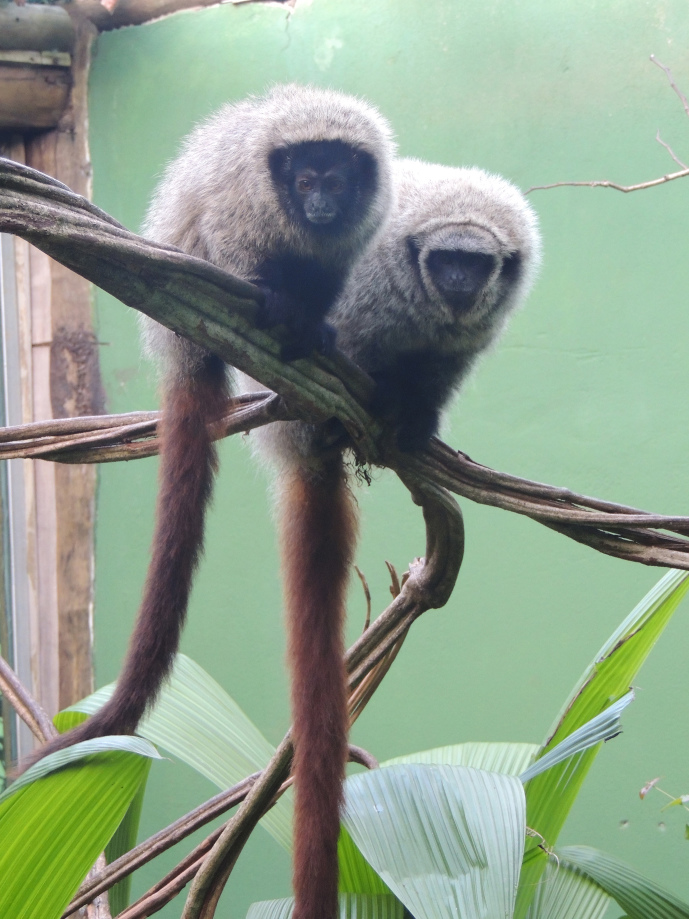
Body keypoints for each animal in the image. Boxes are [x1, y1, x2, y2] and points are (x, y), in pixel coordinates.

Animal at [25, 82, 392, 919]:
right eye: (303, 179)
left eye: (334, 179)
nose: (319, 200)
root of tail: (179, 352)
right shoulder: (245, 209)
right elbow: (238, 245)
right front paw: (281, 301)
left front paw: (316, 317)